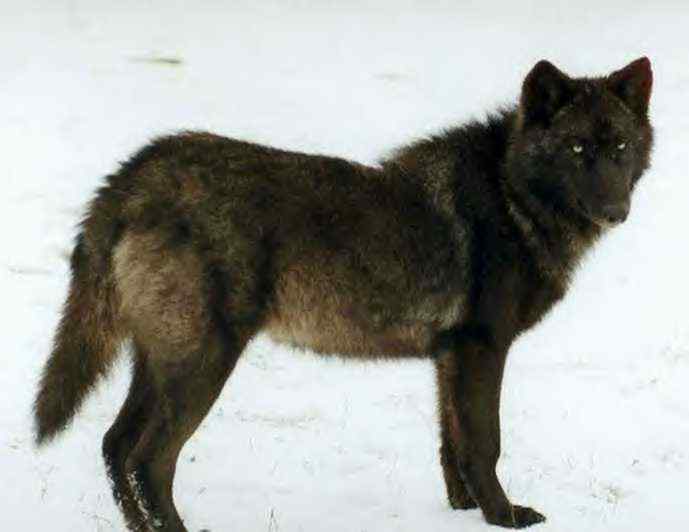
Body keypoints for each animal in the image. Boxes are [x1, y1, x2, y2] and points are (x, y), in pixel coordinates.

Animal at [34, 57, 653, 530]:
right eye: (576, 150)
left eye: (620, 146)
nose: (616, 210)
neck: (511, 196)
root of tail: (134, 174)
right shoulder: (482, 350)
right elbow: (484, 443)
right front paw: (502, 517)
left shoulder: (449, 357)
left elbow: (451, 444)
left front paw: (462, 510)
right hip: (202, 366)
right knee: (149, 460)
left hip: (161, 364)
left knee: (115, 446)